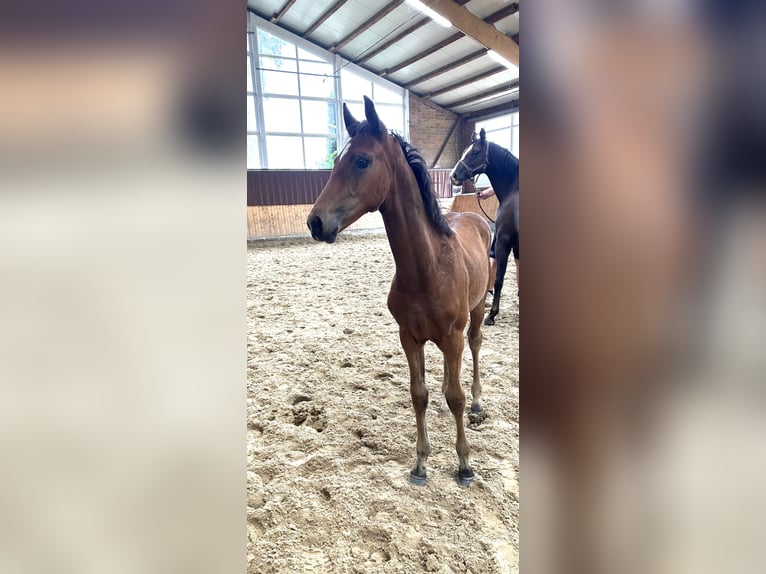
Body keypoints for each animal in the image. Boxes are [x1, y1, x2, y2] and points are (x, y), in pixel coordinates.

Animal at [307, 96, 492, 487]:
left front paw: (465, 465)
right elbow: (418, 394)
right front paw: (420, 464)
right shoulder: (409, 336)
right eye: (336, 160)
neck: (427, 269)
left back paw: (478, 401)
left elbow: (456, 397)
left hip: (478, 311)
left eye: (361, 160)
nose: (315, 222)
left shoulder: (451, 336)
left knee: (475, 347)